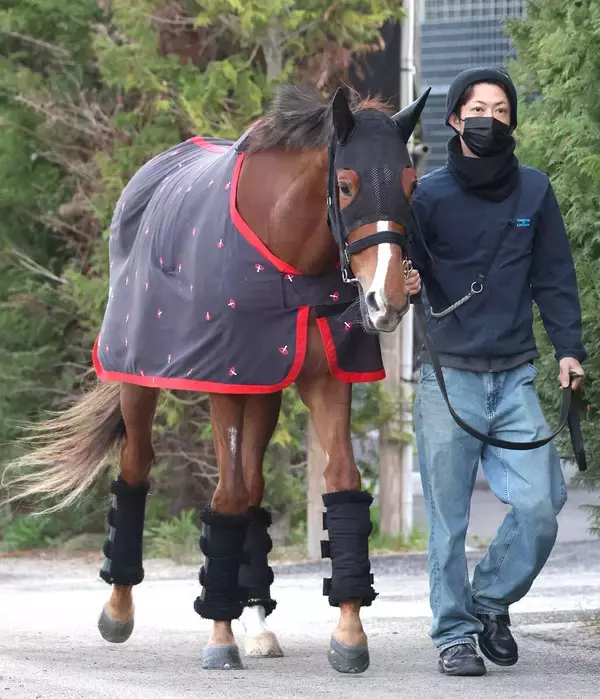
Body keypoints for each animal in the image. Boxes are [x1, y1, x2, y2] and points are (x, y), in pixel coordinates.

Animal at [3, 84, 430, 674]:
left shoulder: (322, 380)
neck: (286, 260)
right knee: (137, 467)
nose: (385, 300)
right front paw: (220, 637)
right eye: (346, 185)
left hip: (263, 388)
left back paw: (259, 624)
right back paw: (119, 608)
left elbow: (340, 482)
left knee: (253, 487)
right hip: (140, 381)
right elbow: (225, 500)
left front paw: (347, 631)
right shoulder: (224, 384)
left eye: (411, 185)